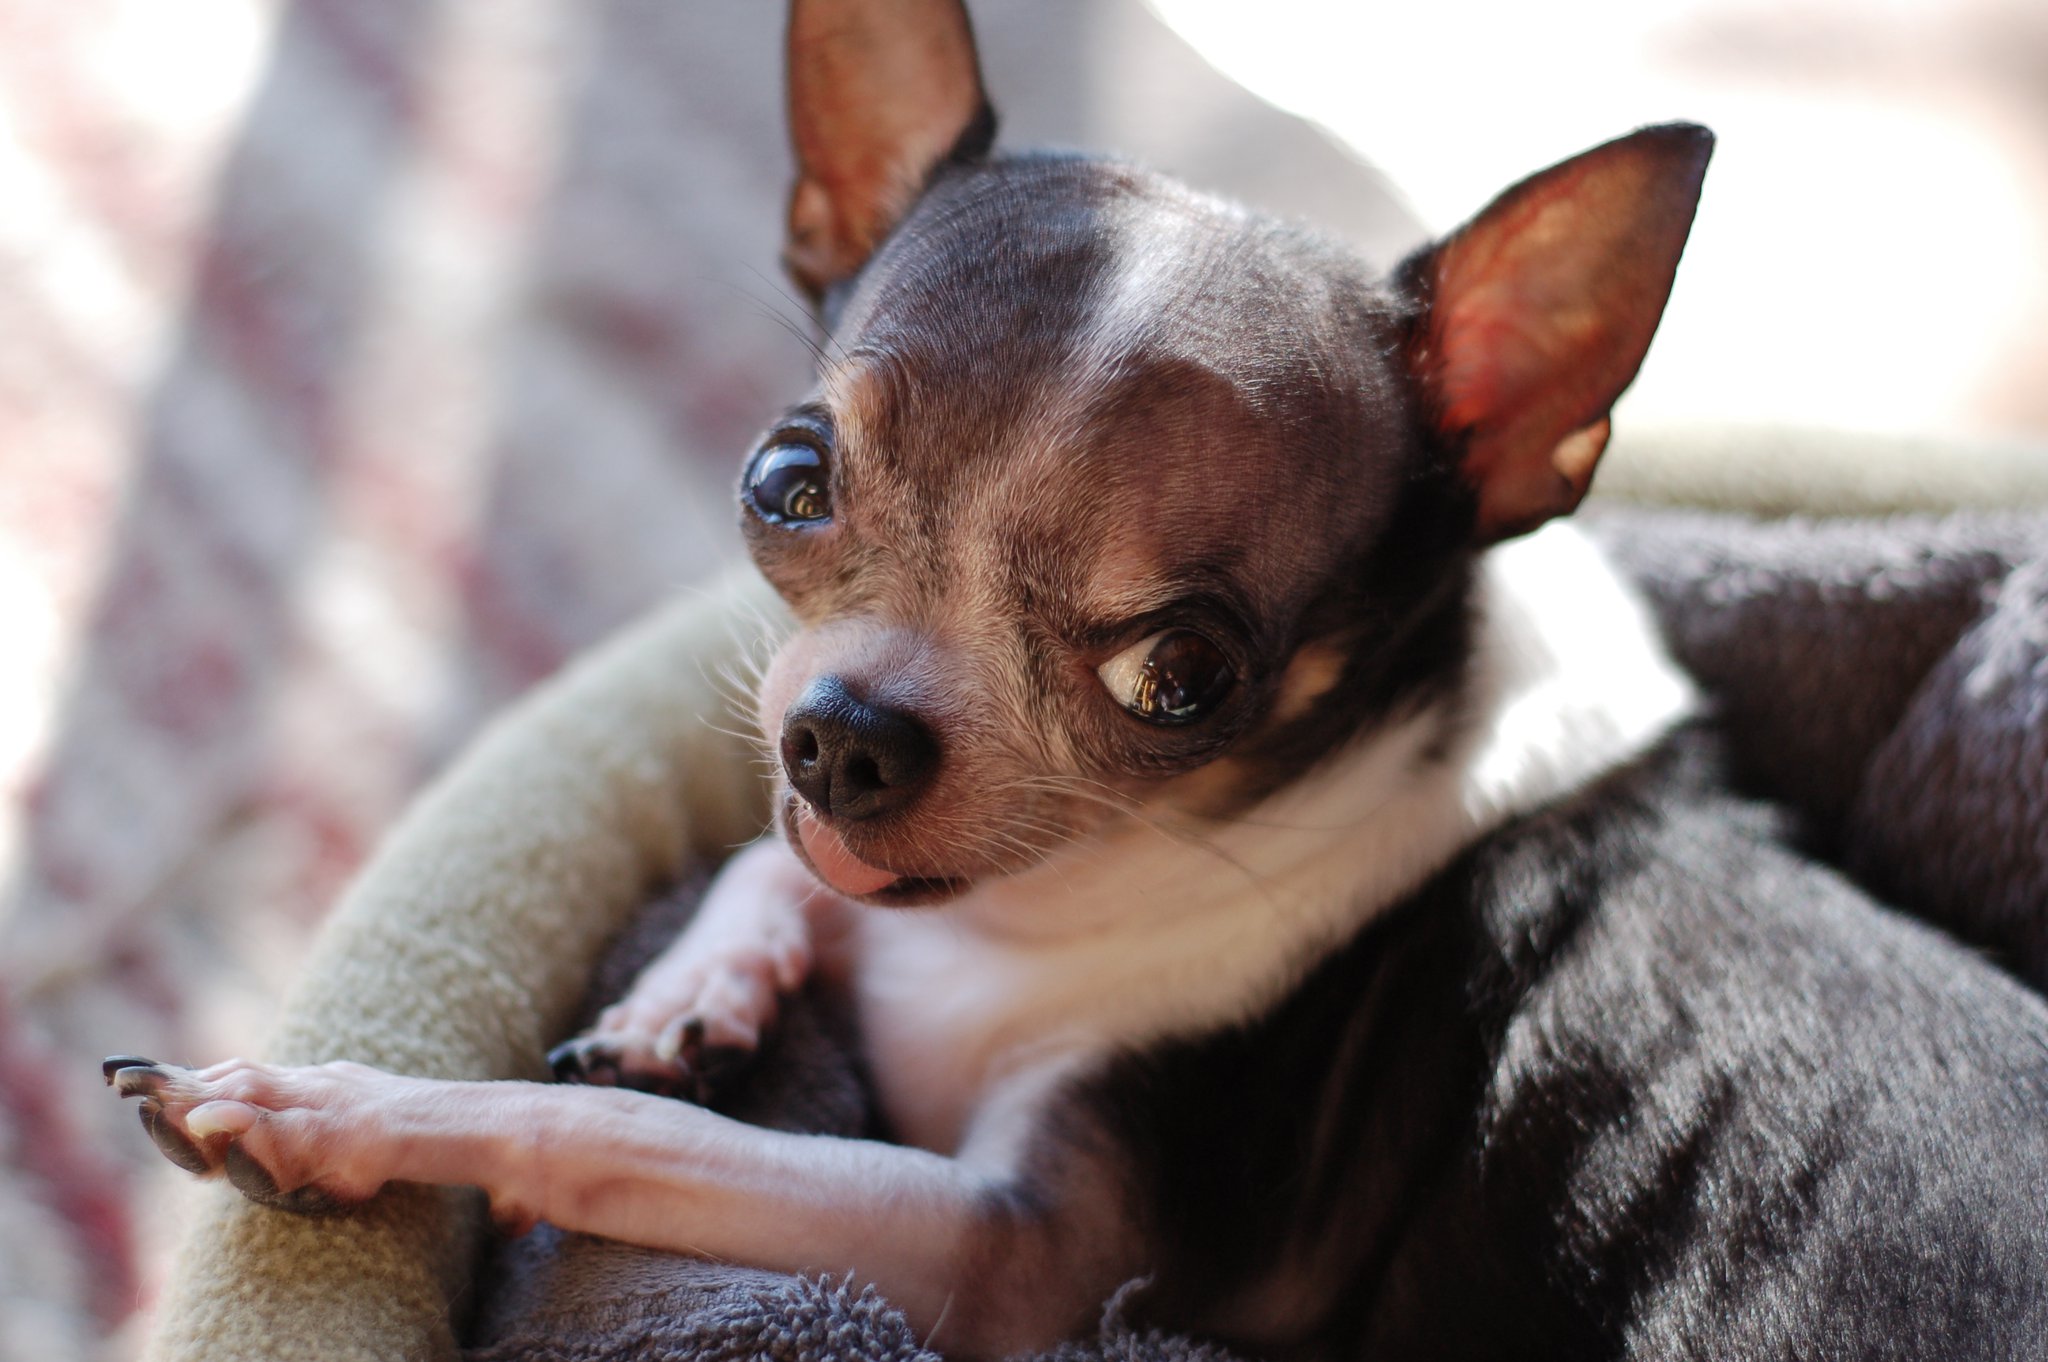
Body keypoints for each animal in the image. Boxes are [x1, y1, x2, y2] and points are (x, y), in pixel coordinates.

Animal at [116, 0, 2048, 1351]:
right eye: (786, 481)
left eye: (1181, 674)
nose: (846, 740)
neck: (1029, 918)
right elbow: (763, 874)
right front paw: (697, 988)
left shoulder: (1005, 1253)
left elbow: (607, 1139)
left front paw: (327, 1109)